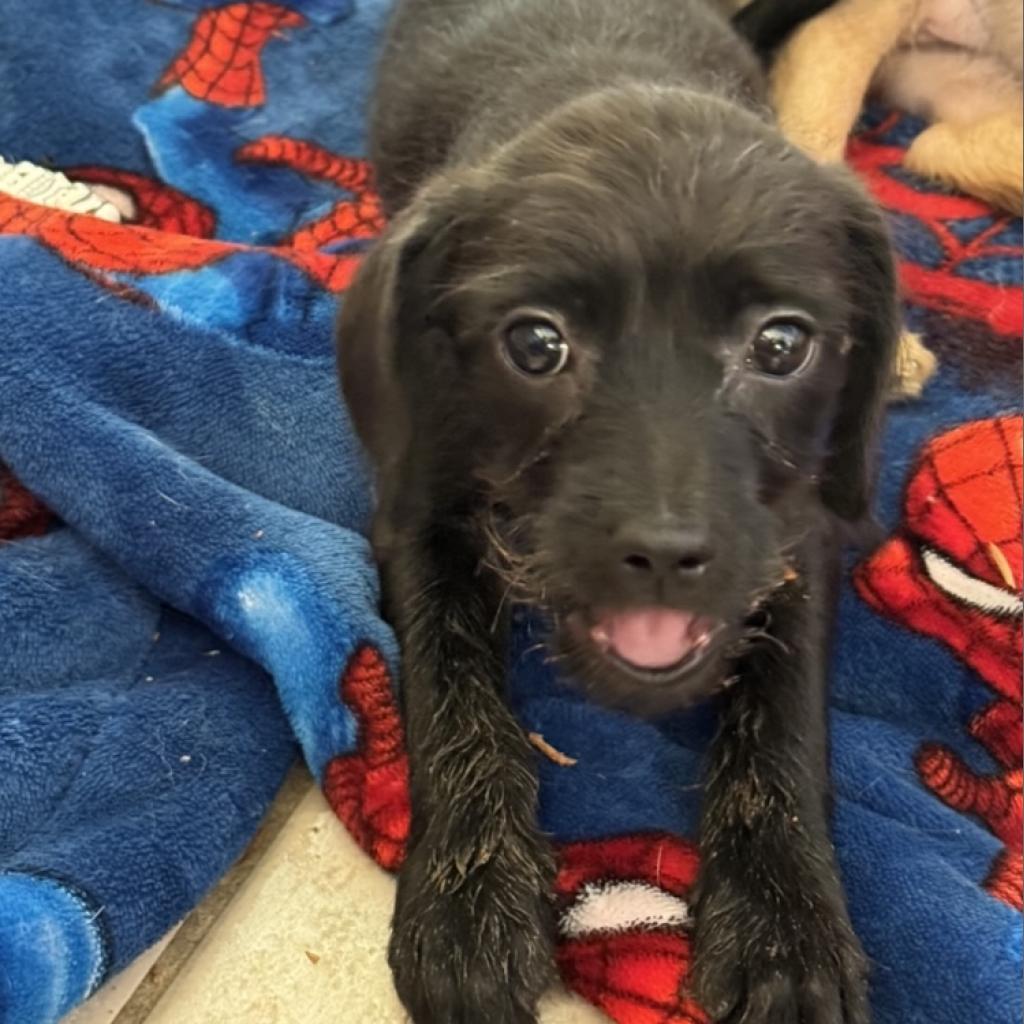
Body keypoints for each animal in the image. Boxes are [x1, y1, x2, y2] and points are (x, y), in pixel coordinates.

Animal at [337, 2, 897, 1024]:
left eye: (782, 344)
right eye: (535, 344)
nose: (667, 553)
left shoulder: (797, 531)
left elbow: (786, 712)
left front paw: (784, 920)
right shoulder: (417, 504)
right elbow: (448, 685)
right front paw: (467, 894)